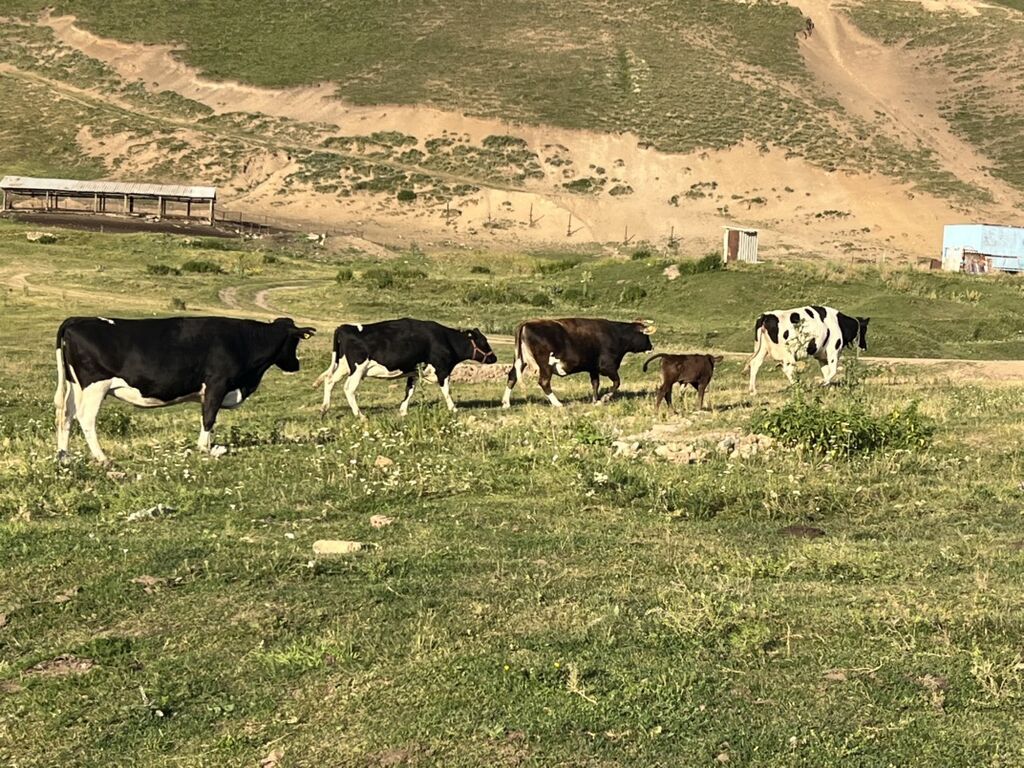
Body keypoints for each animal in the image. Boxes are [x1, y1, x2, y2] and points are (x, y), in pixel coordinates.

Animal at [54, 316, 316, 463]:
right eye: (295, 341)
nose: (296, 365)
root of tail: (76, 320)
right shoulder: (217, 384)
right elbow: (208, 417)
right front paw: (205, 448)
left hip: (75, 387)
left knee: (66, 416)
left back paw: (64, 458)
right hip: (95, 386)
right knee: (85, 418)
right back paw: (102, 458)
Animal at [314, 319, 498, 418]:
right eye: (483, 341)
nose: (494, 358)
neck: (446, 339)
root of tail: (344, 327)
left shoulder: (414, 371)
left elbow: (409, 390)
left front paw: (403, 410)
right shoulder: (442, 369)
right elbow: (446, 391)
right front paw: (453, 409)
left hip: (343, 366)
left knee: (330, 381)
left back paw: (324, 409)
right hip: (357, 369)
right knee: (348, 389)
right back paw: (360, 415)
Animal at [501, 318, 654, 408]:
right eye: (646, 336)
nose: (651, 347)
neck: (617, 335)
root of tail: (527, 323)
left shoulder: (593, 367)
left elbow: (595, 383)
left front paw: (595, 400)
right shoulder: (608, 366)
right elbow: (617, 382)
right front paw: (604, 398)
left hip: (520, 360)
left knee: (512, 377)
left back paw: (506, 403)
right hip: (545, 364)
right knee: (544, 382)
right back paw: (557, 403)